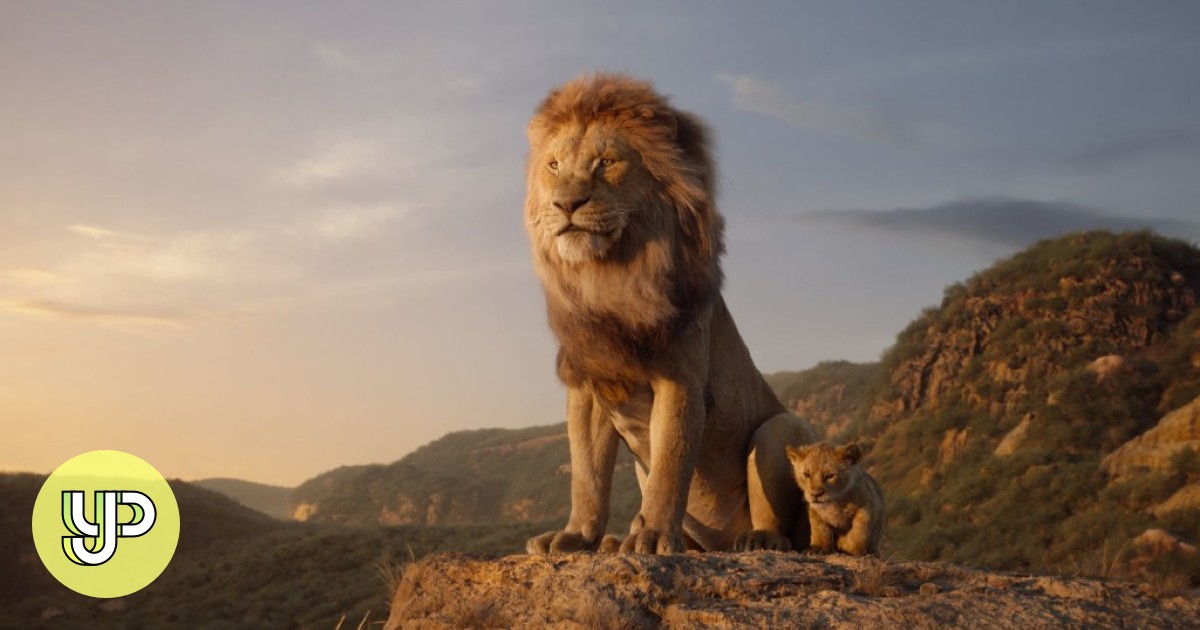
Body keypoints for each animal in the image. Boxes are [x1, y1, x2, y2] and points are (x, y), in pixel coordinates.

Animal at [522, 73, 816, 555]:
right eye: (553, 166)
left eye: (606, 162)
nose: (566, 204)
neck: (610, 276)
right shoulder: (590, 385)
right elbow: (587, 475)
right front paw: (576, 535)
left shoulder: (680, 380)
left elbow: (670, 466)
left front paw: (655, 535)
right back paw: (618, 540)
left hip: (781, 428)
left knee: (782, 525)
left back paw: (756, 540)